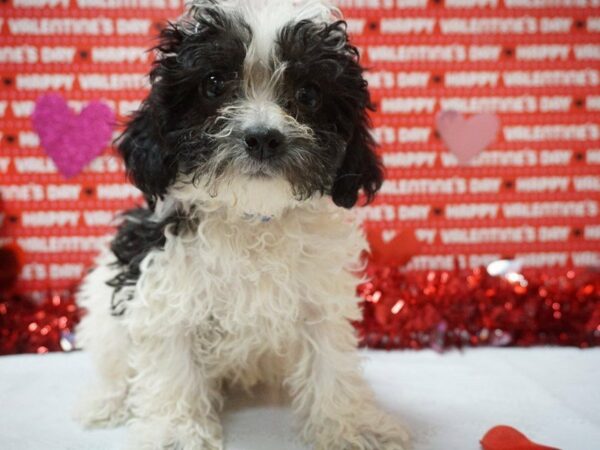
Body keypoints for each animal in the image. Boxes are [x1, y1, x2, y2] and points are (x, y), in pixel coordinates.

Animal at [75, 1, 410, 448]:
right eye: (214, 84)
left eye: (308, 94)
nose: (263, 138)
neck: (252, 217)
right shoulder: (167, 290)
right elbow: (172, 367)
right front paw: (176, 432)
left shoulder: (319, 299)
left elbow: (329, 363)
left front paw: (351, 426)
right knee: (114, 365)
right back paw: (106, 402)